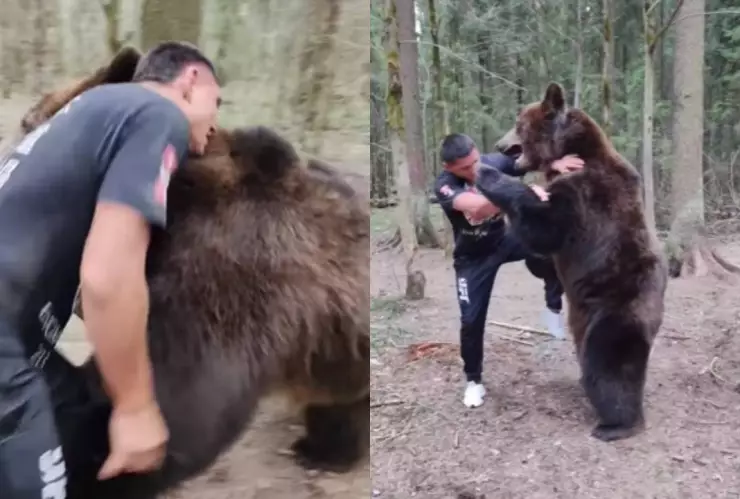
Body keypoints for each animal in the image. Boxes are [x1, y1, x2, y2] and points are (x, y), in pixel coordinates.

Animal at [475, 82, 668, 442]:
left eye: (519, 123)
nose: (499, 146)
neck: (570, 152)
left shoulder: (584, 196)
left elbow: (543, 225)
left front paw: (486, 172)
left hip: (617, 309)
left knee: (609, 363)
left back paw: (616, 424)